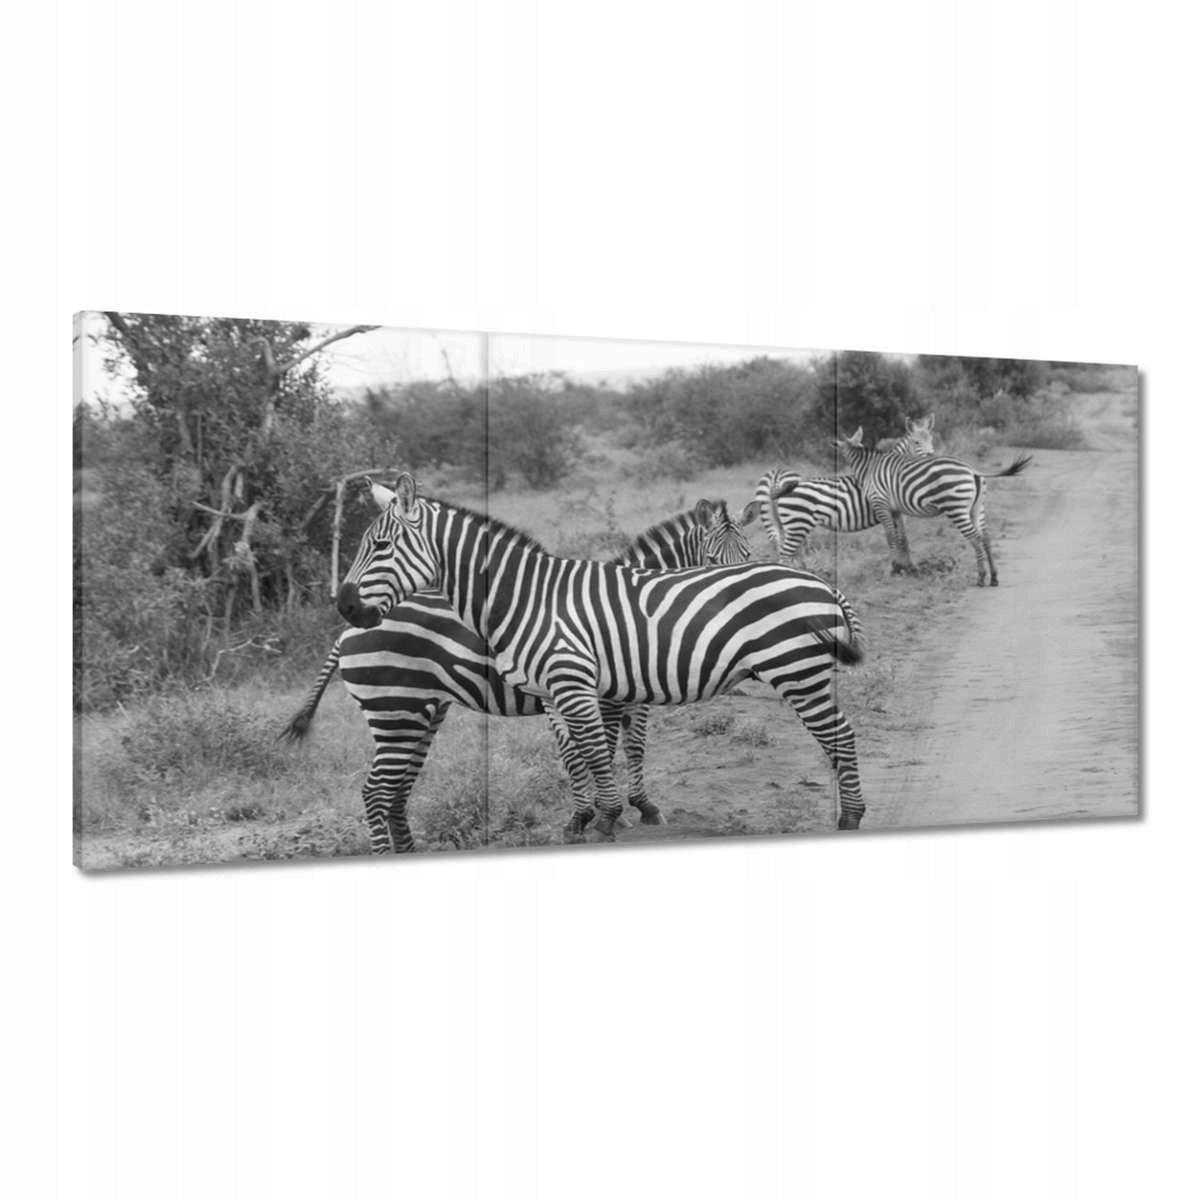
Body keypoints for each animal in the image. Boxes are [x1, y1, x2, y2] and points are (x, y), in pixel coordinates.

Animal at [281, 497, 754, 853]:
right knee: (379, 792)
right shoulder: (599, 693)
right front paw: (606, 814)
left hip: (422, 713)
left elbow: (621, 749)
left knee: (396, 793)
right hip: (394, 708)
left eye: (749, 556)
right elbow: (599, 750)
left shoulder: (616, 693)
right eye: (712, 559)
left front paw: (625, 810)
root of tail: (346, 631)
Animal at [744, 415, 936, 565]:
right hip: (796, 523)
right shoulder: (893, 509)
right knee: (786, 555)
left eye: (931, 440)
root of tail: (776, 478)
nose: (932, 458)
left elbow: (902, 538)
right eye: (917, 442)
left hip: (782, 523)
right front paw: (905, 567)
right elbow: (901, 538)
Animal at [833, 427, 1032, 586]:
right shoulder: (895, 509)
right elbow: (901, 538)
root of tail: (971, 470)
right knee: (986, 538)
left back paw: (981, 577)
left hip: (957, 509)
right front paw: (904, 568)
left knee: (975, 538)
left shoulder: (880, 503)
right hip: (977, 509)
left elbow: (890, 537)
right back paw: (994, 578)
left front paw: (894, 568)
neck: (869, 467)